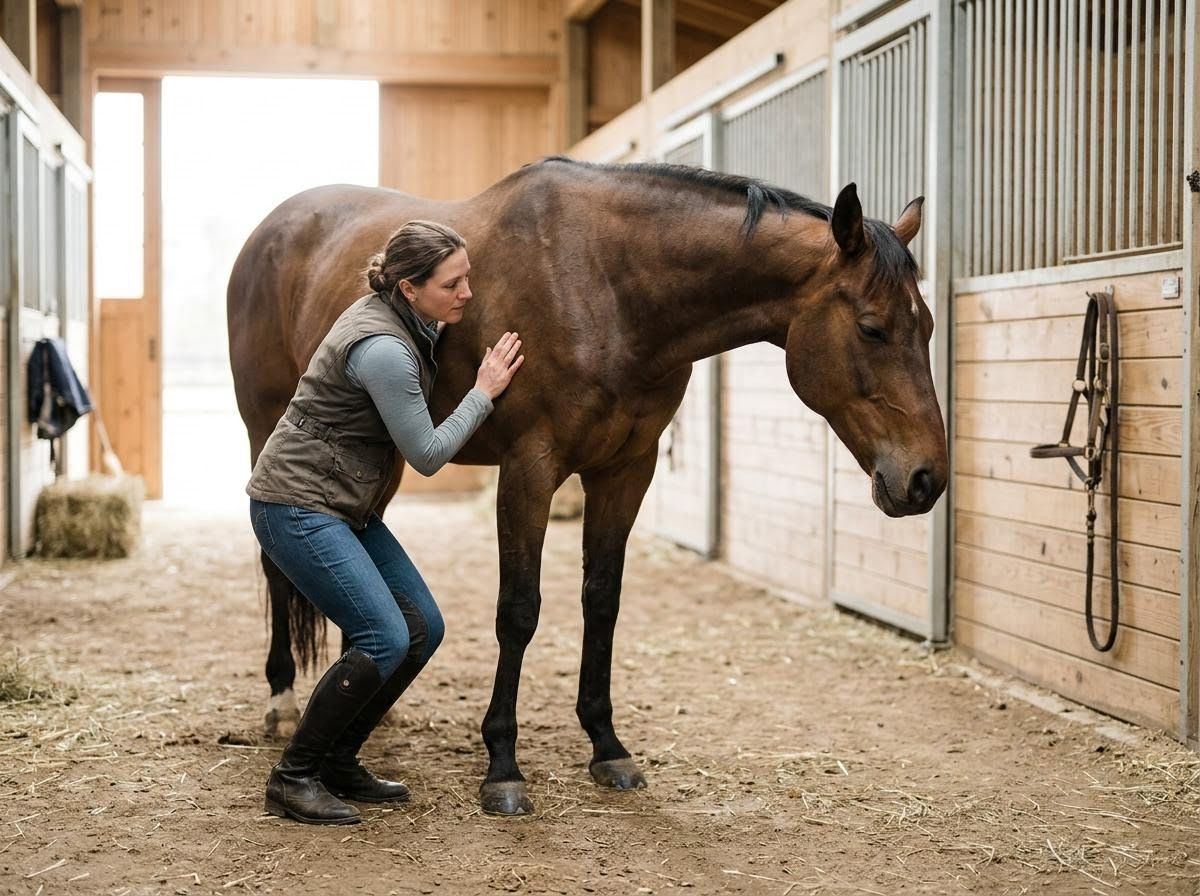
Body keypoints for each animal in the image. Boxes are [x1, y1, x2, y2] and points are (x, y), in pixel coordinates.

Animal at [227, 157, 948, 816]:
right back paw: (282, 698)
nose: (926, 479)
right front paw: (504, 767)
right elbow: (519, 611)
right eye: (872, 328)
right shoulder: (530, 468)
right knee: (274, 562)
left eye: (929, 326)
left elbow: (602, 601)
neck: (610, 288)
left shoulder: (626, 469)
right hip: (265, 426)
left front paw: (607, 747)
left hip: (389, 456)